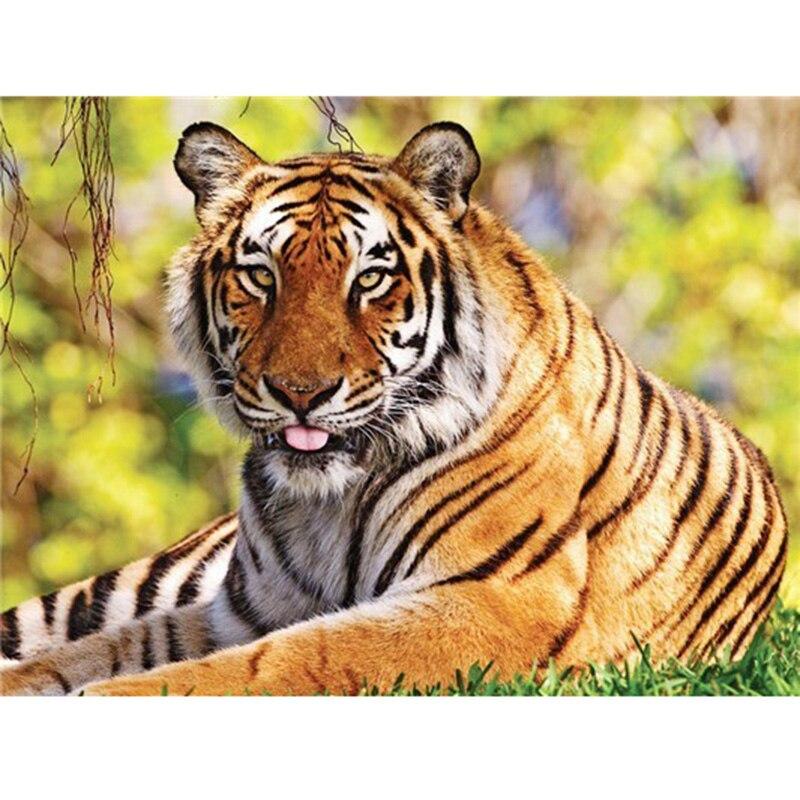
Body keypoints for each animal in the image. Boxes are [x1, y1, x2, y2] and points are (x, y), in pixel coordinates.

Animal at [0, 120, 788, 696]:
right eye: (261, 275)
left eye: (369, 279)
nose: (300, 392)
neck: (327, 502)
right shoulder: (240, 610)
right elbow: (96, 651)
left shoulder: (493, 600)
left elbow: (284, 661)